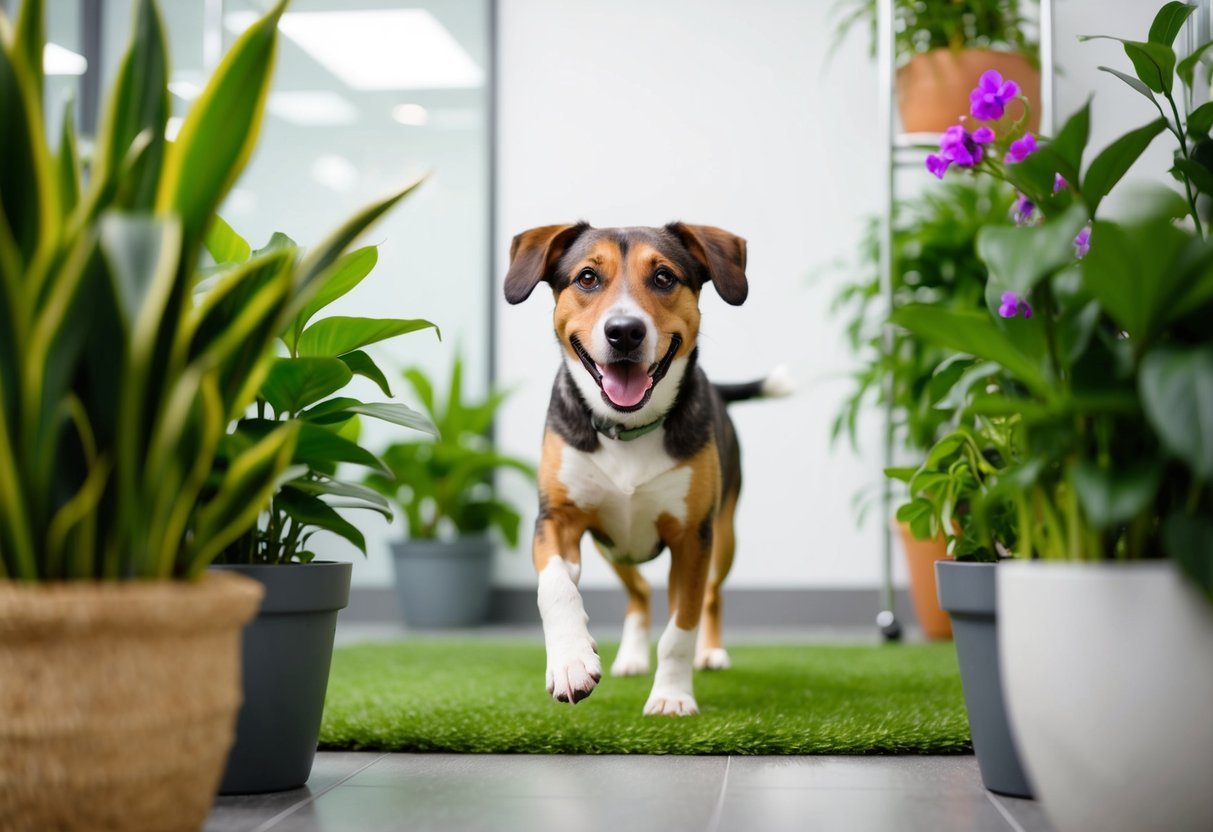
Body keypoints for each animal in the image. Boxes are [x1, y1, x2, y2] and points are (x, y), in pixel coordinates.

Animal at [499, 221, 786, 717]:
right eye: (587, 277)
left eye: (664, 277)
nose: (625, 332)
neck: (628, 429)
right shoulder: (556, 519)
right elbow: (556, 585)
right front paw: (572, 659)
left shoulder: (693, 539)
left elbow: (681, 628)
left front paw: (672, 695)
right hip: (613, 548)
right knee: (639, 592)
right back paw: (631, 658)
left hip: (724, 538)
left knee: (711, 595)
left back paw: (711, 653)